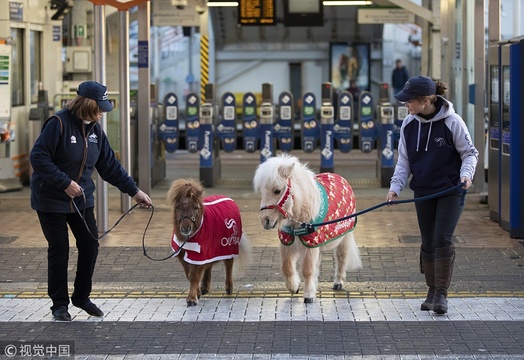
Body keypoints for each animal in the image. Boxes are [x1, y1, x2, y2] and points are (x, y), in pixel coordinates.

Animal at [253, 153, 360, 302]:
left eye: (277, 191)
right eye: (263, 191)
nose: (265, 220)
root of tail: (341, 178)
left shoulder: (310, 245)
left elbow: (307, 270)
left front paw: (308, 295)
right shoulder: (288, 244)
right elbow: (287, 268)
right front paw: (294, 287)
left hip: (344, 237)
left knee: (341, 257)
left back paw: (338, 282)